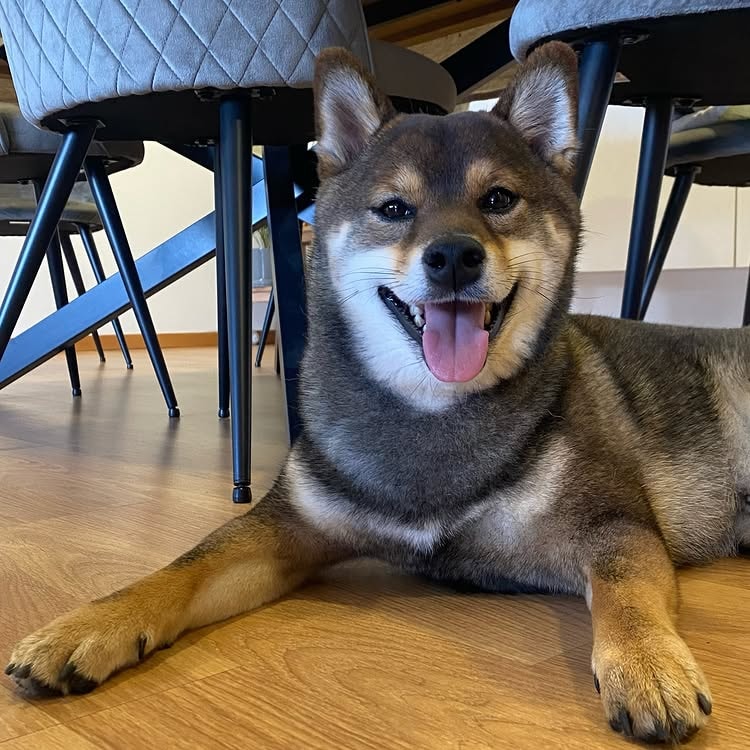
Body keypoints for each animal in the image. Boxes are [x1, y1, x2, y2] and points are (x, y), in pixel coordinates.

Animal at [5, 41, 750, 748]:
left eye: (498, 200)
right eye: (394, 209)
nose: (453, 256)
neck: (431, 413)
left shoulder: (616, 524)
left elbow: (625, 592)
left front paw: (650, 666)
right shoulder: (288, 528)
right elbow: (180, 568)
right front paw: (86, 626)